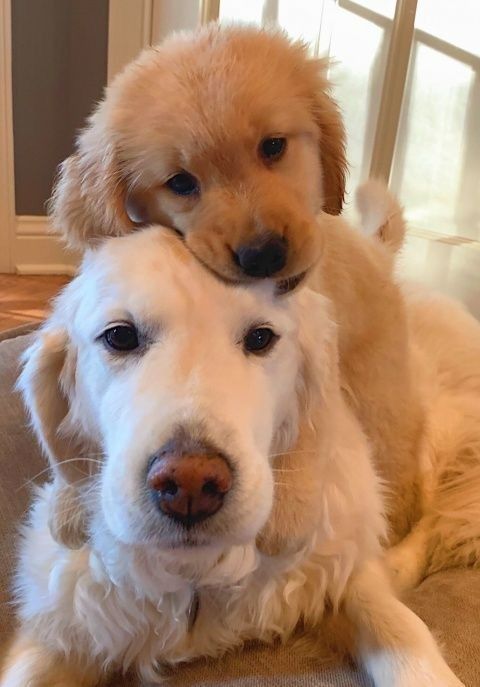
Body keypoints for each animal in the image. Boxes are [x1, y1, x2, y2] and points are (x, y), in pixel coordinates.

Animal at [0, 189, 476, 687]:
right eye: (120, 336)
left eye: (261, 338)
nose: (189, 484)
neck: (197, 584)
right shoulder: (69, 623)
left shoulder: (339, 566)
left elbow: (400, 629)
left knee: (438, 517)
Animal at [49, 25, 424, 544]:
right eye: (180, 182)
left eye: (273, 147)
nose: (263, 254)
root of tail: (375, 249)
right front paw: (70, 503)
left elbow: (308, 434)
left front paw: (288, 517)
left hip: (378, 385)